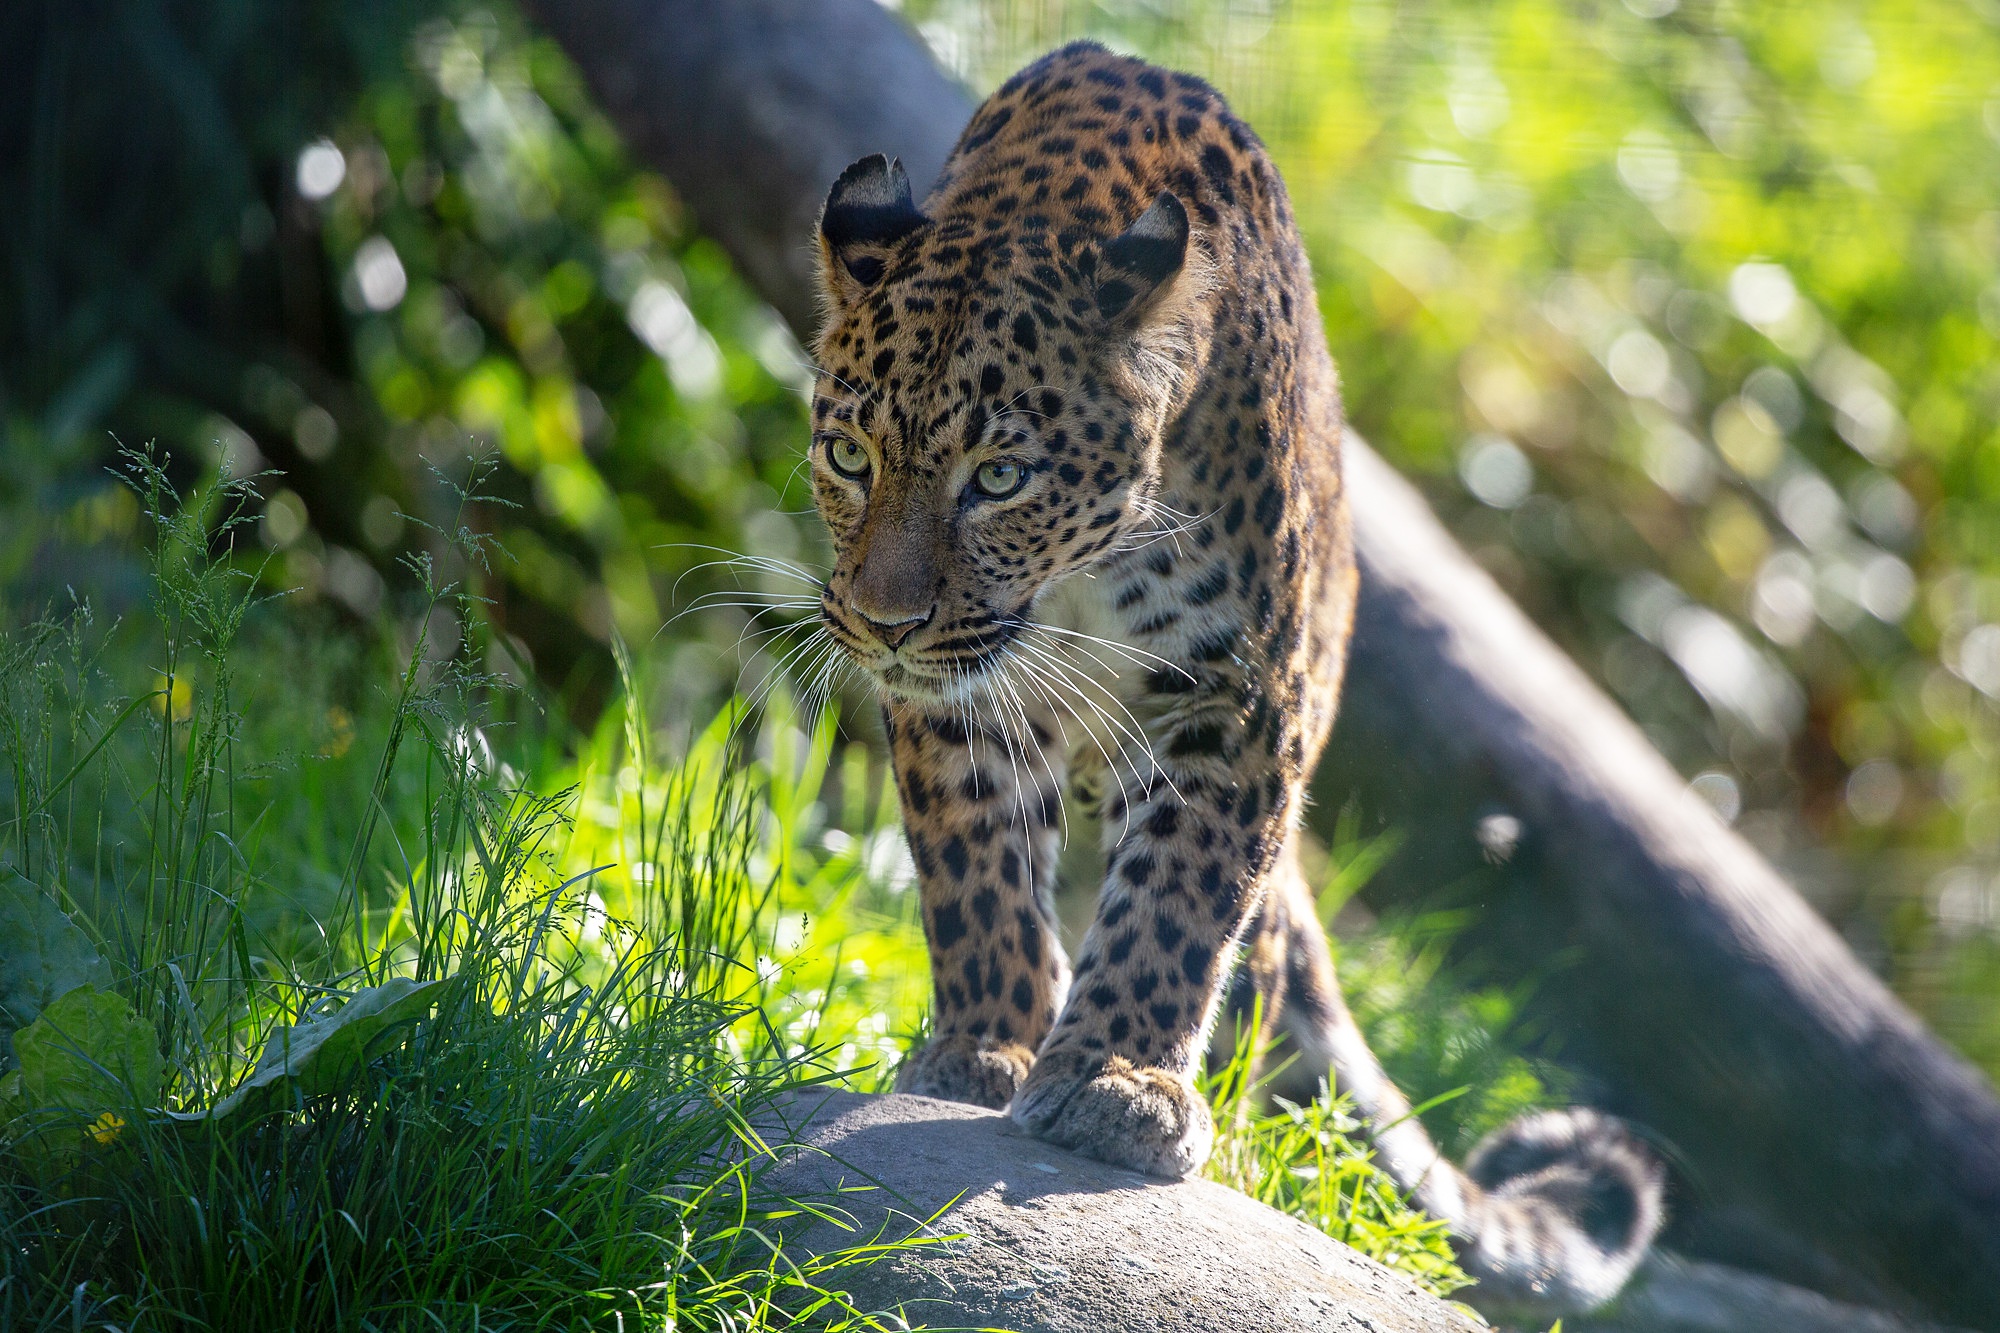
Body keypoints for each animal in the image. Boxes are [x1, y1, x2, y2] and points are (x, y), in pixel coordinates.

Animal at [804, 41, 1664, 1320]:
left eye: (999, 476)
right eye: (848, 456)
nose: (880, 621)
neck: (1074, 575)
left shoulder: (1236, 698)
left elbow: (1177, 898)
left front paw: (1116, 1080)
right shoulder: (958, 695)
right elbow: (974, 866)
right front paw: (986, 1047)